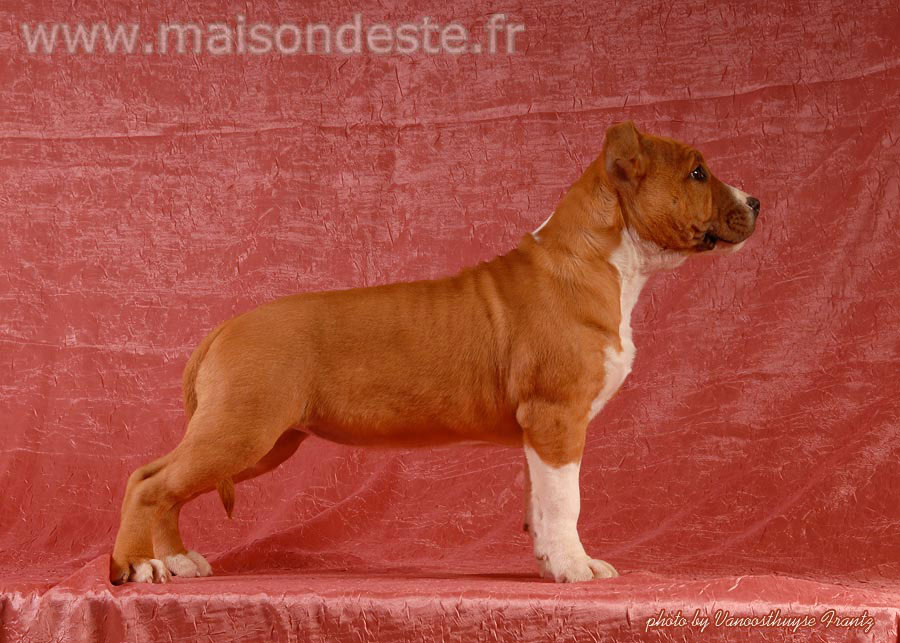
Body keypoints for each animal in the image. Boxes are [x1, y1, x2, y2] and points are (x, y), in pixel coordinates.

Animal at [110, 121, 759, 584]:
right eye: (697, 173)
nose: (756, 201)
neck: (604, 259)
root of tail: (222, 328)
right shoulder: (557, 420)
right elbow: (566, 500)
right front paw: (575, 567)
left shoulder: (539, 432)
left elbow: (540, 503)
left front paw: (551, 563)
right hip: (243, 429)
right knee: (148, 480)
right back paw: (138, 566)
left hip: (261, 440)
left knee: (166, 483)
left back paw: (178, 561)